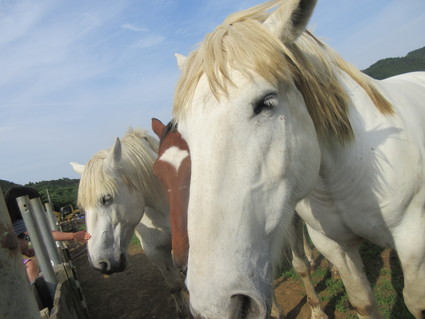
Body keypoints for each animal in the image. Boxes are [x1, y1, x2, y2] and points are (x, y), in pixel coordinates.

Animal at [170, 0, 424, 318]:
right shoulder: (334, 246)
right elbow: (361, 300)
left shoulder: (413, 240)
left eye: (266, 102)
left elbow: (415, 302)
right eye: (183, 132)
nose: (216, 306)